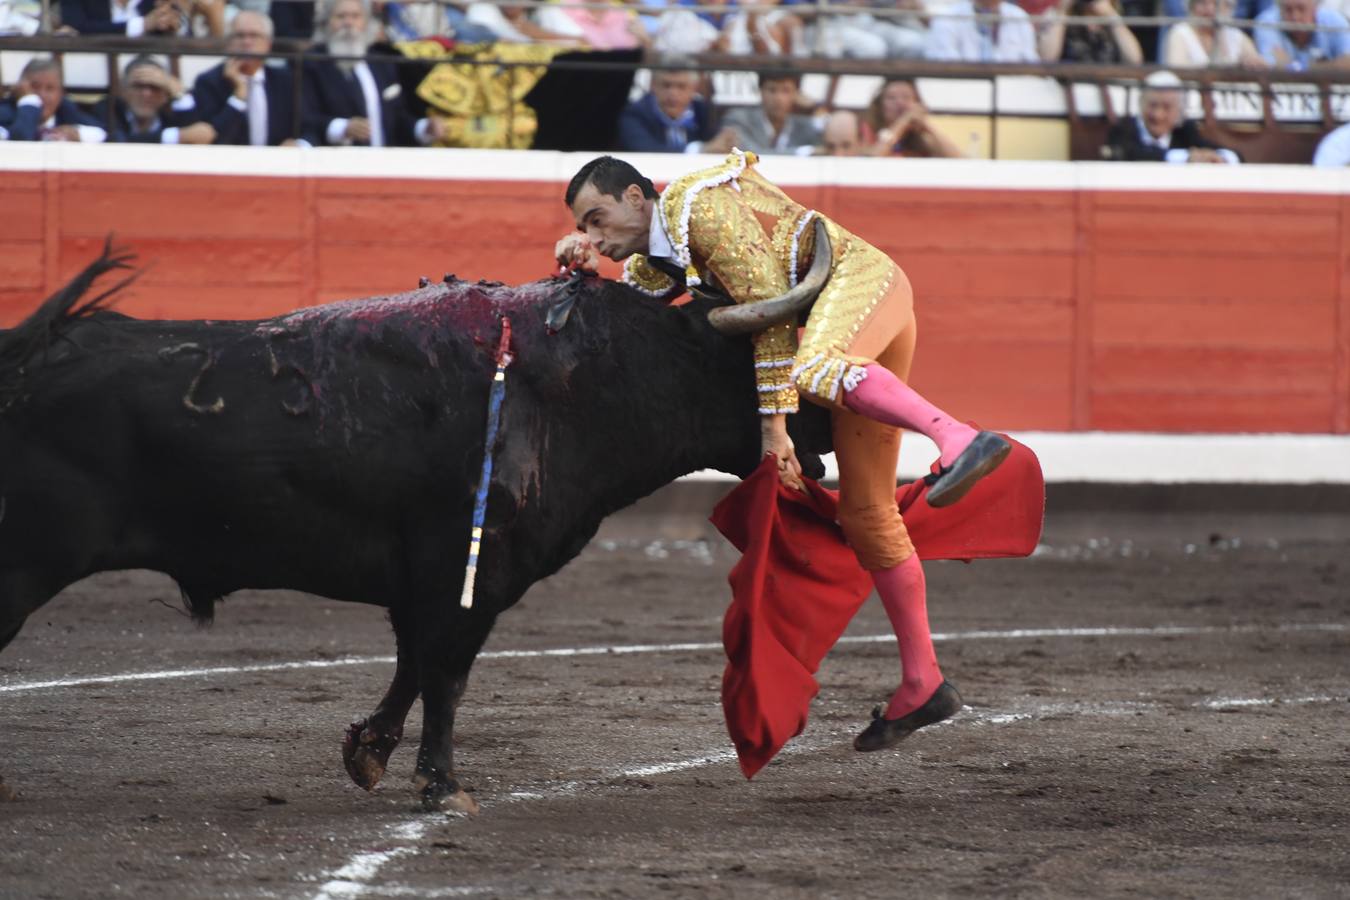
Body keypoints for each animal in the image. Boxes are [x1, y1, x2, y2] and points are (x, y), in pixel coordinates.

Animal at [0, 248, 831, 814]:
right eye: (761, 357)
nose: (822, 437)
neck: (584, 383)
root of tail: (27, 360)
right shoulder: (470, 567)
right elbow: (447, 672)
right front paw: (442, 785)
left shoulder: (426, 577)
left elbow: (412, 663)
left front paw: (369, 754)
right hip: (25, 563)